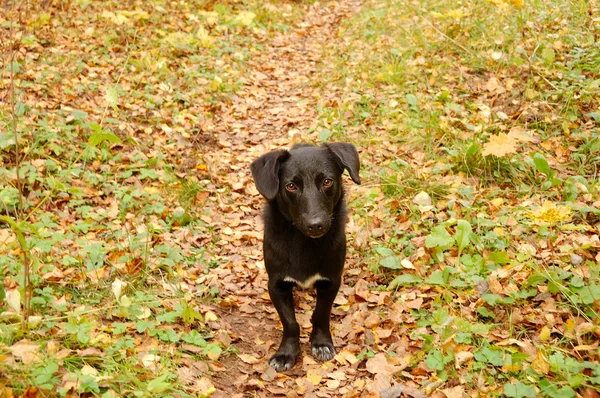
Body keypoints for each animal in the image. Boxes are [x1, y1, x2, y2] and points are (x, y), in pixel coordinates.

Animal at [250, 142, 360, 370]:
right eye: (291, 186)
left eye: (327, 181)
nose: (315, 224)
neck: (304, 242)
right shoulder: (276, 285)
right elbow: (290, 322)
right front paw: (286, 353)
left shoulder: (331, 281)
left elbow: (321, 314)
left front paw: (321, 343)